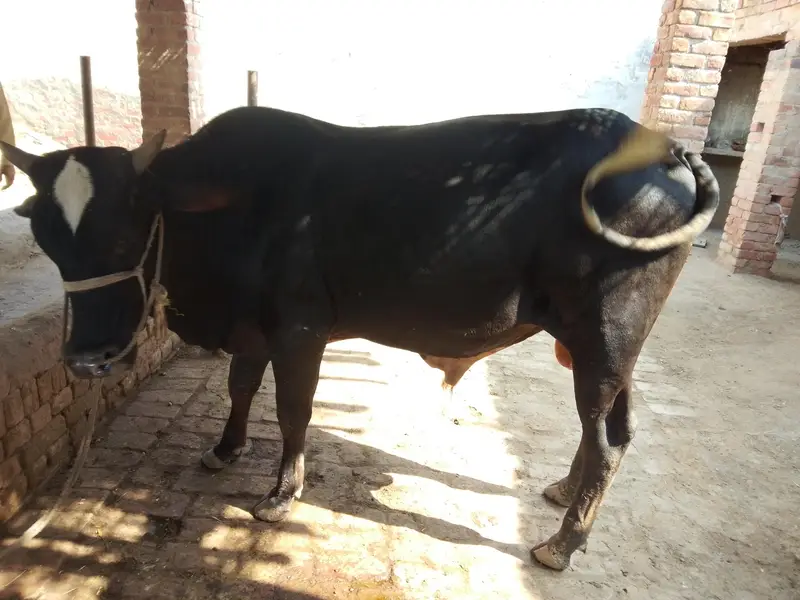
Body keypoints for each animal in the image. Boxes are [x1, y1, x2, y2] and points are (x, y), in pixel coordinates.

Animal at [0, 105, 718, 571]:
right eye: (47, 237)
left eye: (127, 227)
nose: (88, 359)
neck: (226, 203)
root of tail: (664, 148)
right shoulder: (253, 329)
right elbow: (239, 388)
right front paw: (225, 450)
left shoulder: (300, 329)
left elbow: (292, 410)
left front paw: (280, 494)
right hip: (611, 349)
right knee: (613, 431)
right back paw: (566, 496)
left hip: (605, 336)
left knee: (607, 444)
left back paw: (560, 545)